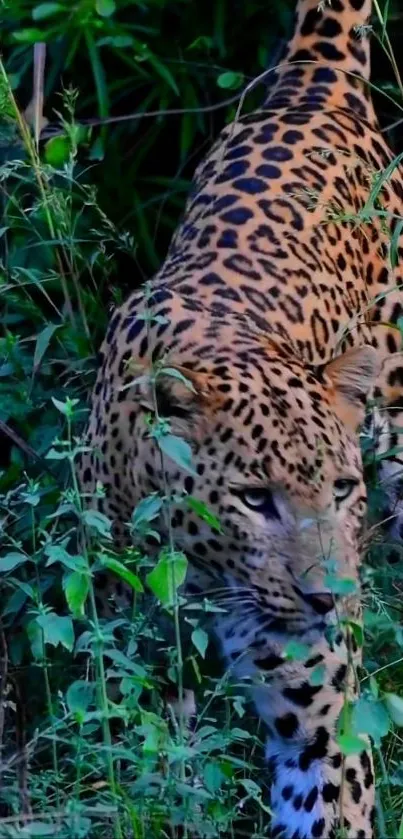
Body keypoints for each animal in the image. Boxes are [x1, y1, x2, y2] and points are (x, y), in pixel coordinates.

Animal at [77, 0, 403, 836]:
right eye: (255, 498)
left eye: (341, 489)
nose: (327, 601)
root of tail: (312, 85)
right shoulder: (134, 672)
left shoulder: (320, 726)